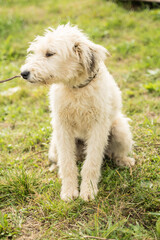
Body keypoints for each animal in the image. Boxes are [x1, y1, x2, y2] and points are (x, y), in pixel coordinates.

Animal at [20, 23, 135, 201]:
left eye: (50, 53)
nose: (23, 73)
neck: (76, 88)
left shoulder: (98, 127)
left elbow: (92, 162)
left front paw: (88, 190)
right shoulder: (62, 127)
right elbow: (67, 163)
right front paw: (69, 191)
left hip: (120, 129)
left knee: (114, 154)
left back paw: (124, 161)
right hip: (55, 143)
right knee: (62, 160)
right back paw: (56, 168)